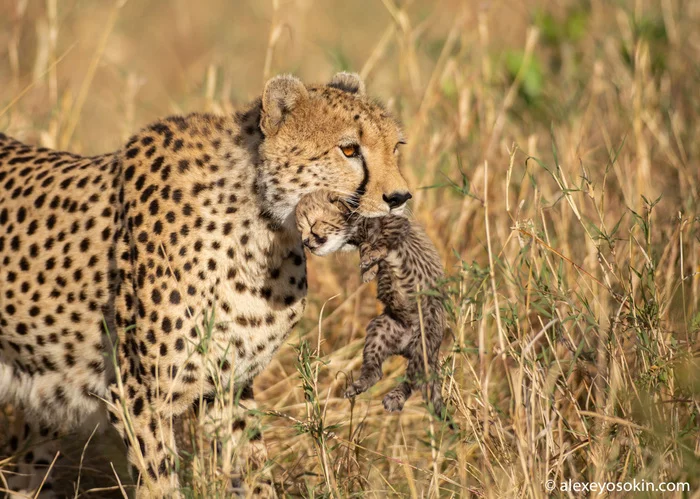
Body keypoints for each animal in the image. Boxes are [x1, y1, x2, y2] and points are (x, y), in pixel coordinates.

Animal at [0, 72, 412, 498]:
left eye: (395, 147)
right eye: (348, 149)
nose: (400, 197)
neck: (262, 227)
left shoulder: (229, 388)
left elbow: (253, 470)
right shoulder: (140, 397)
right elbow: (159, 483)